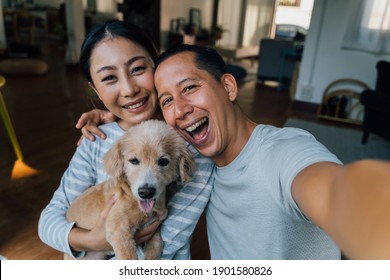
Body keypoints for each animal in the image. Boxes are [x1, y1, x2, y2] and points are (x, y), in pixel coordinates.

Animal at [66, 119, 197, 260]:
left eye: (163, 161)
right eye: (134, 161)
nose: (146, 192)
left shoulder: (154, 225)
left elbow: (156, 244)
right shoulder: (118, 232)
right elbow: (130, 257)